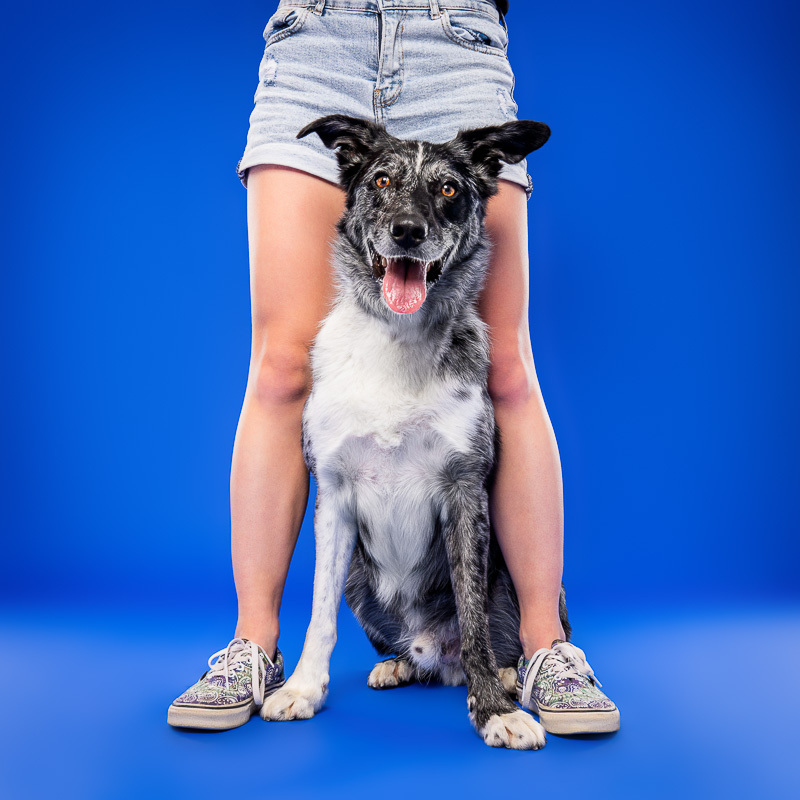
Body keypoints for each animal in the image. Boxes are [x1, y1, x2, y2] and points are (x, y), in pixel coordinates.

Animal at [260, 114, 572, 752]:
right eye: (382, 179)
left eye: (449, 189)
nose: (407, 231)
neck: (398, 339)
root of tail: (437, 656)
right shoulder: (334, 497)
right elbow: (319, 614)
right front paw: (302, 689)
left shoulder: (465, 493)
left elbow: (474, 617)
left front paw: (494, 710)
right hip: (359, 580)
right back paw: (399, 664)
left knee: (501, 639)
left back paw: (506, 677)